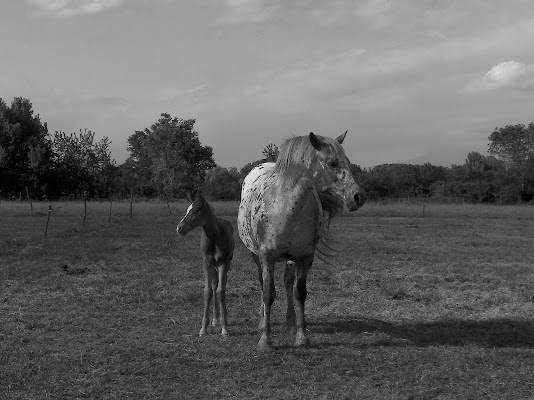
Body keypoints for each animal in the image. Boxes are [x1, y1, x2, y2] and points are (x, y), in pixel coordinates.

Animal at [177, 192, 236, 336]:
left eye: (195, 211)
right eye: (187, 210)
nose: (179, 228)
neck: (215, 237)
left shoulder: (223, 263)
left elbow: (221, 291)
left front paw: (224, 328)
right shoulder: (206, 263)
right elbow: (208, 291)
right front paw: (203, 328)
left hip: (226, 263)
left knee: (221, 285)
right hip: (213, 266)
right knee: (214, 284)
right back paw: (215, 319)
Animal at [241, 131, 366, 350]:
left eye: (348, 162)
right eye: (332, 163)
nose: (358, 197)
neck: (284, 208)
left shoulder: (305, 258)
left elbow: (300, 293)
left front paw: (302, 337)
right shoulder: (266, 257)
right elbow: (268, 293)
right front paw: (265, 340)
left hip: (291, 259)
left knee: (288, 283)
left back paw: (291, 323)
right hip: (255, 256)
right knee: (262, 284)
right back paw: (262, 320)